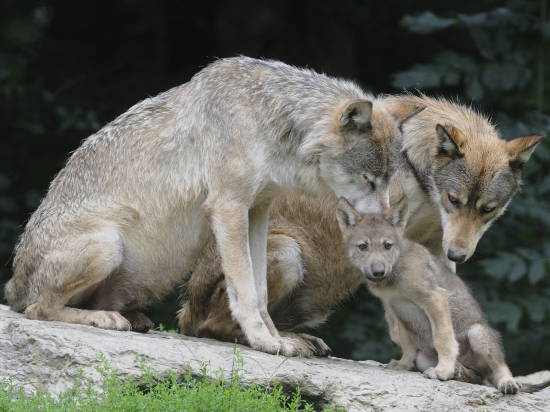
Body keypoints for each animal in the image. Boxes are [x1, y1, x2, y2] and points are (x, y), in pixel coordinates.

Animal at [4, 56, 424, 356]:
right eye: (370, 180)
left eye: (391, 179)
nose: (385, 228)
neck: (270, 119)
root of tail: (13, 285)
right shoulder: (228, 207)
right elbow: (246, 292)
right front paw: (264, 341)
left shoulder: (257, 212)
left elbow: (261, 293)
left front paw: (280, 339)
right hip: (107, 245)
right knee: (38, 309)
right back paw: (104, 319)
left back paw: (128, 318)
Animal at [338, 200, 550, 396]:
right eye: (362, 247)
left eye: (387, 245)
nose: (378, 271)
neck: (393, 277)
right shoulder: (394, 309)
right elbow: (406, 342)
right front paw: (404, 364)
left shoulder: (434, 299)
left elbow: (443, 339)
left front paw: (443, 371)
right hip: (424, 359)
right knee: (477, 377)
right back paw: (458, 371)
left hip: (478, 334)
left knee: (499, 369)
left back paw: (506, 382)